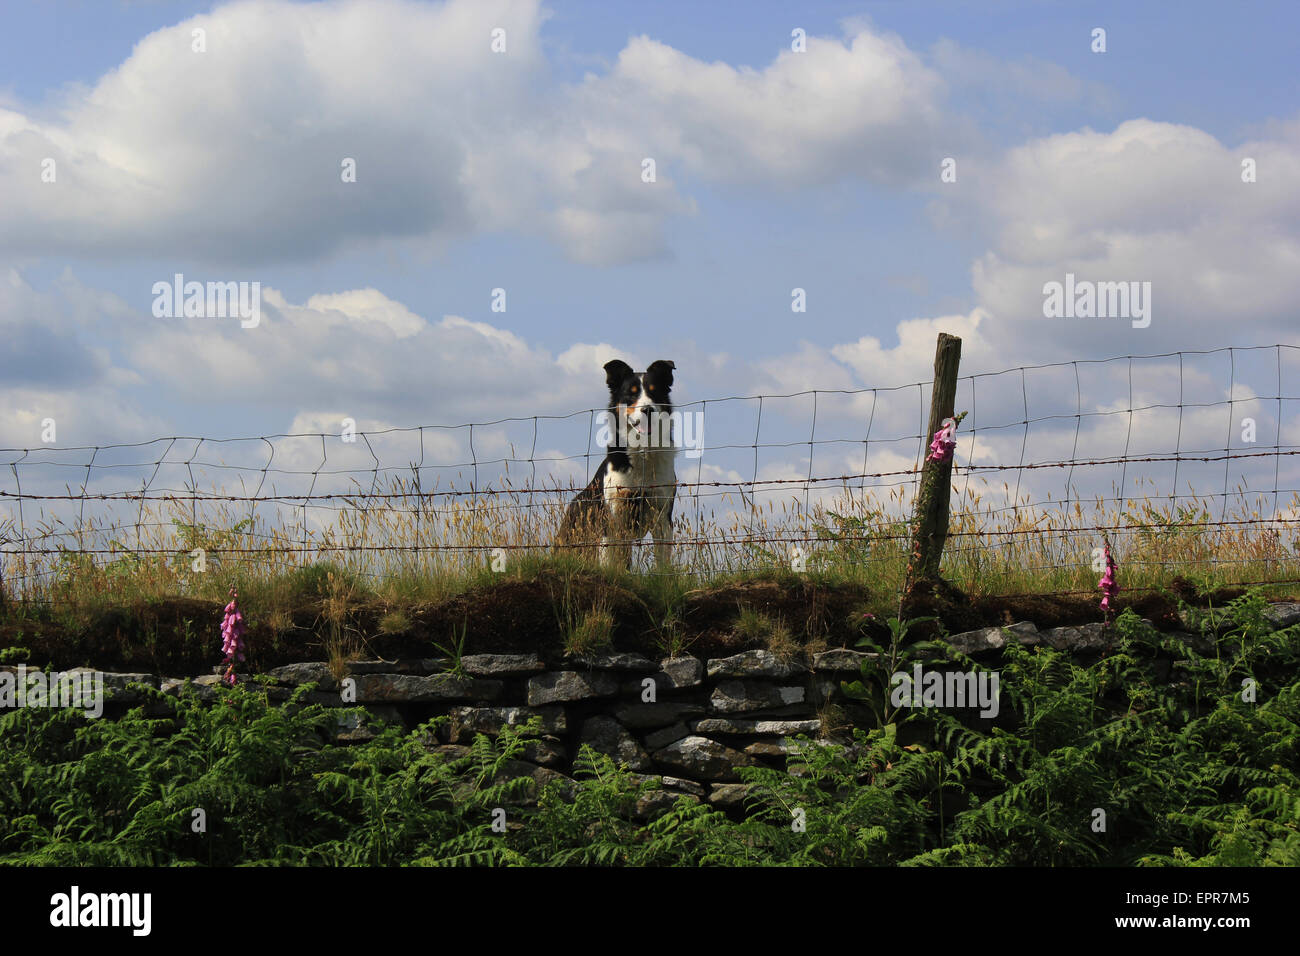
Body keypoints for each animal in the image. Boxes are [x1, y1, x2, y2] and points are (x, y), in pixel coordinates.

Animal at [559, 358, 681, 567]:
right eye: (630, 394)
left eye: (654, 391)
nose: (647, 409)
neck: (642, 454)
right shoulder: (612, 515)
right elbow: (609, 560)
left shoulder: (662, 514)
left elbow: (662, 560)